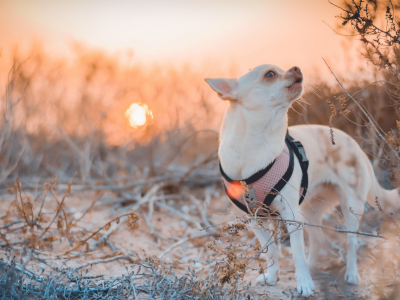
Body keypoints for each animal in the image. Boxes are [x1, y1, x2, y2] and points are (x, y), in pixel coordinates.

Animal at [205, 64, 398, 296]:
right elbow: (270, 251)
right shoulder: (256, 218)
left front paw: (304, 283)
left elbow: (296, 251)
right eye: (270, 74)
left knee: (352, 241)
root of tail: (356, 145)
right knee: (319, 241)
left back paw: (350, 274)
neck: (257, 142)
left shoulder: (290, 216)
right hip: (309, 211)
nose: (296, 67)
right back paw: (312, 268)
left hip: (350, 206)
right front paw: (273, 277)